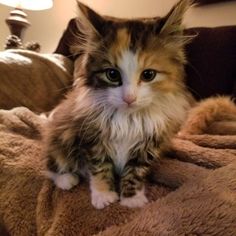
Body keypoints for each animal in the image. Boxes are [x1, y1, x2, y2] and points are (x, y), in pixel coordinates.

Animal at [44, 0, 194, 209]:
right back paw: (67, 179)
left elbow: (135, 172)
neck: (128, 119)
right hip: (60, 138)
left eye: (148, 75)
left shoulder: (147, 145)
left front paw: (132, 199)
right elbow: (99, 167)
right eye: (112, 74)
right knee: (51, 166)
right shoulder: (92, 137)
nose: (129, 98)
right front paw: (103, 195)